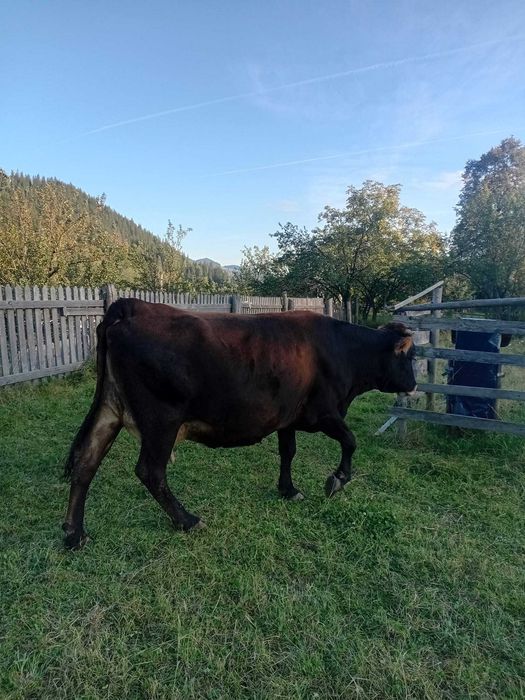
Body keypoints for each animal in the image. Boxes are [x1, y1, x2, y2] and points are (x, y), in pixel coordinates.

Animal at [63, 299, 417, 549]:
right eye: (410, 357)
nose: (413, 384)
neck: (343, 350)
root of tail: (133, 306)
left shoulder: (288, 417)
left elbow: (288, 452)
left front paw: (288, 490)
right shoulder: (324, 413)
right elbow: (350, 440)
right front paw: (337, 480)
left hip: (110, 408)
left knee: (85, 462)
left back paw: (74, 534)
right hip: (162, 420)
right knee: (150, 471)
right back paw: (187, 520)